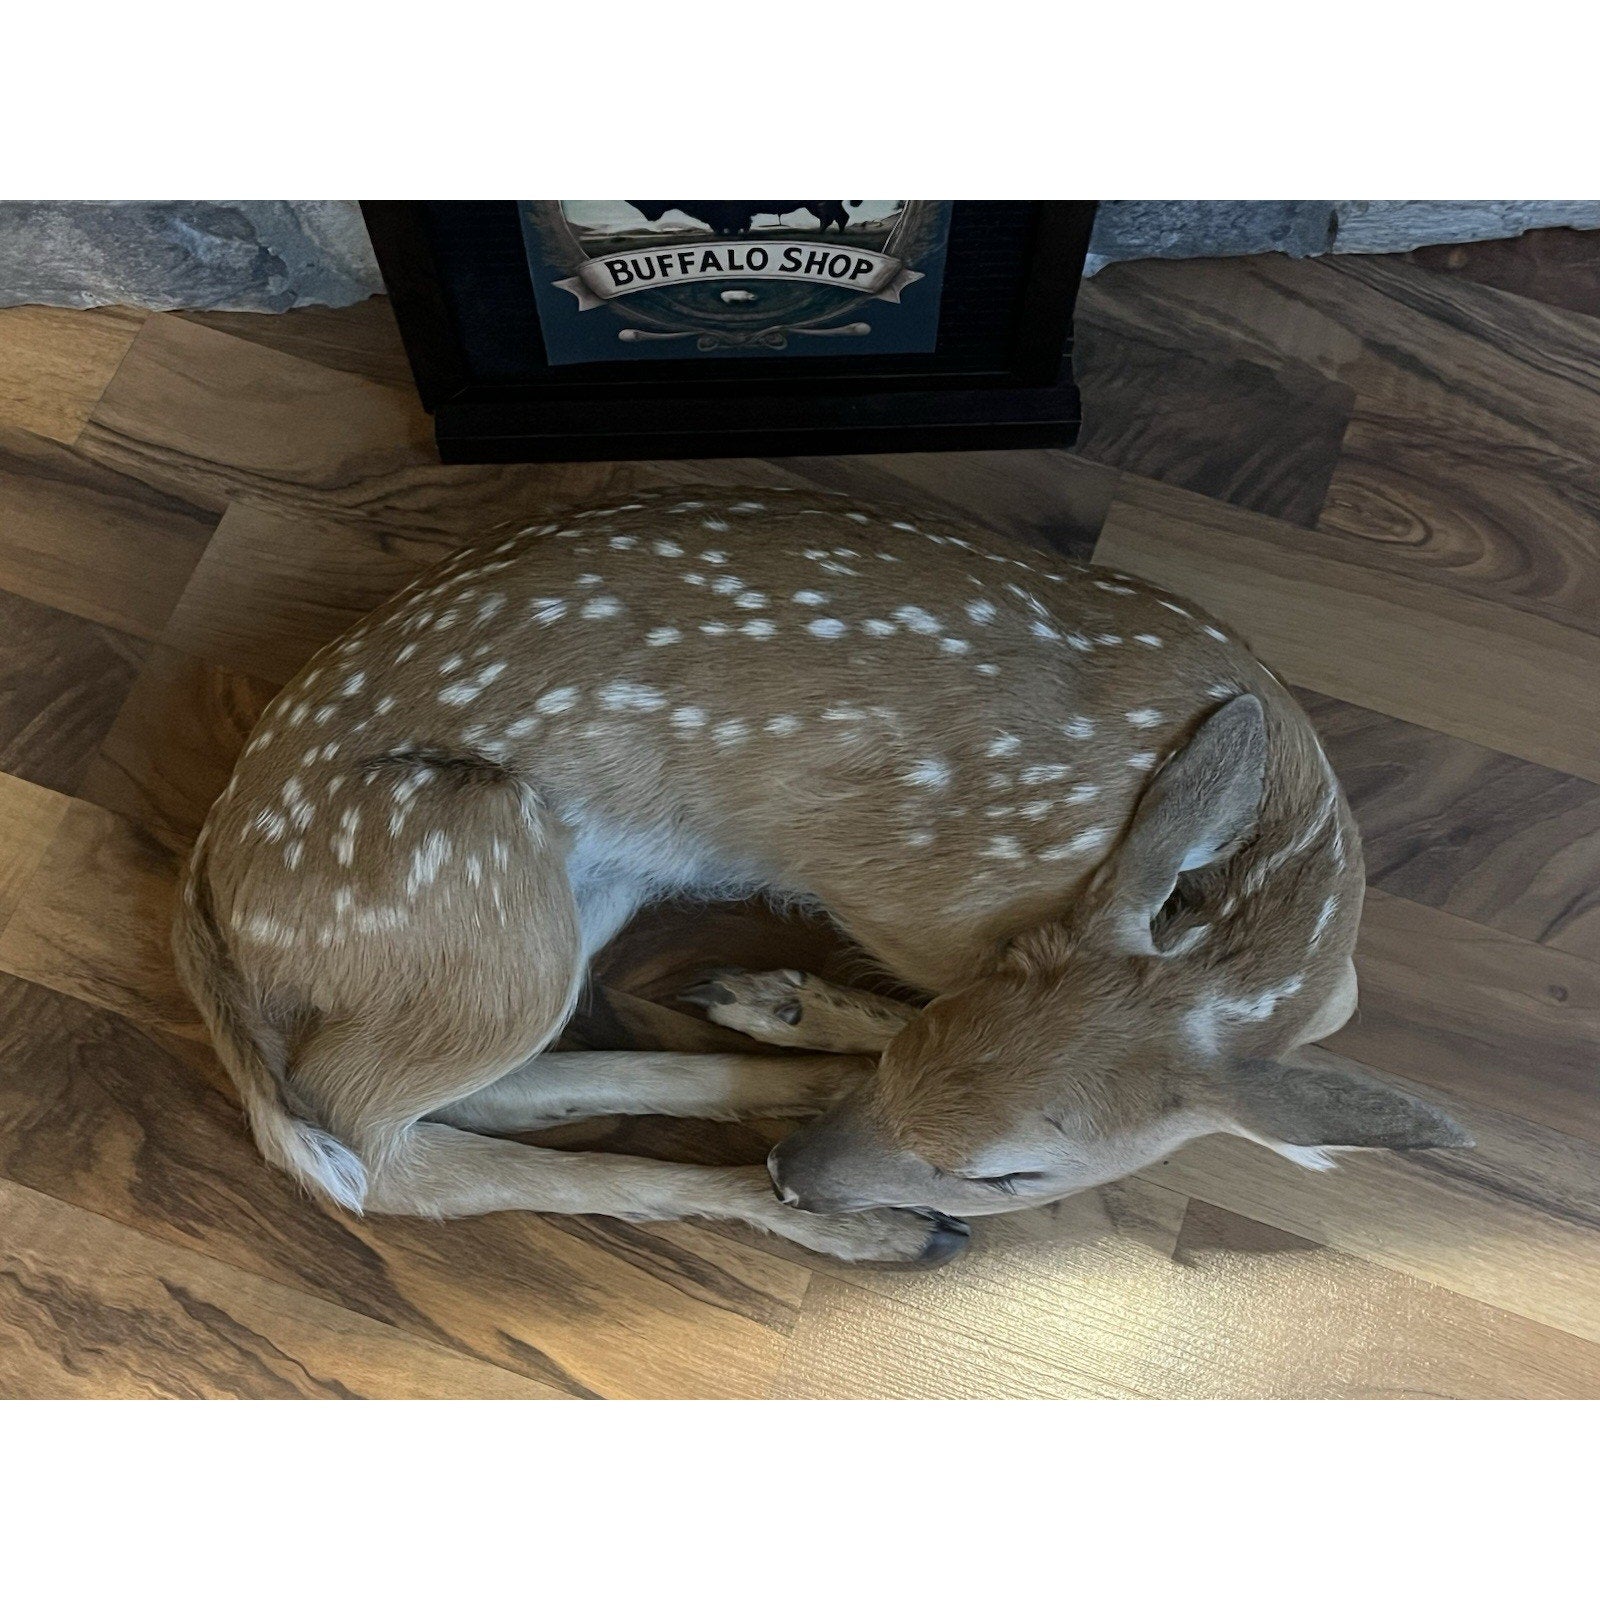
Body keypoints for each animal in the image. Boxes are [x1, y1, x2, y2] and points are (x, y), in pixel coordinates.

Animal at [174, 486, 1469, 1267]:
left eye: (1012, 1171)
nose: (801, 1180)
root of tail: (214, 887)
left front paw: (795, 1010)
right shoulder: (907, 896)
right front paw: (822, 1027)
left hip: (561, 896)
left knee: (475, 1094)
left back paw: (779, 1078)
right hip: (470, 867)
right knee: (368, 1144)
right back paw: (874, 1224)